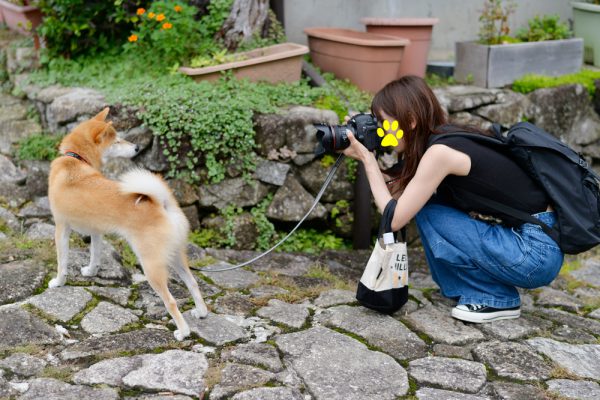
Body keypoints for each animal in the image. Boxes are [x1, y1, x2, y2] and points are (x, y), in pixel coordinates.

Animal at [47, 108, 207, 340]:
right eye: (116, 141)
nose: (138, 148)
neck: (77, 160)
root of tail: (162, 203)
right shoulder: (96, 231)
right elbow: (95, 255)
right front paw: (91, 271)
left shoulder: (61, 228)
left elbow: (62, 263)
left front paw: (58, 282)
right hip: (175, 256)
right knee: (193, 282)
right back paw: (201, 312)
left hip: (151, 266)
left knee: (171, 301)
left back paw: (183, 332)